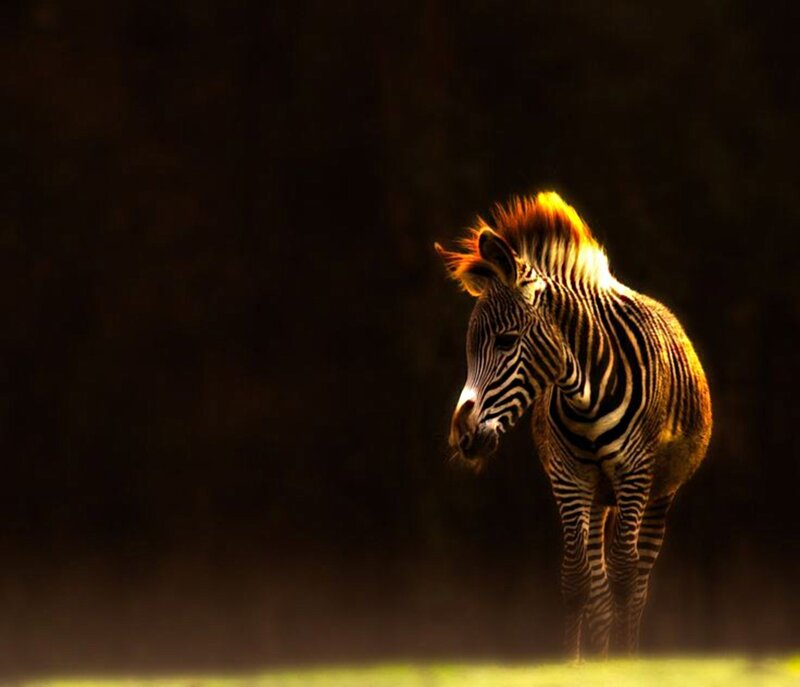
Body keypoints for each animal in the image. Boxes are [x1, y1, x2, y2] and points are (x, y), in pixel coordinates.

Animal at [435, 192, 712, 658]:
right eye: (471, 346)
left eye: (506, 342)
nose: (462, 436)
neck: (587, 397)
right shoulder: (569, 478)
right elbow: (576, 580)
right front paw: (576, 662)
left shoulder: (634, 474)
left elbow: (624, 577)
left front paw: (623, 660)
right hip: (599, 495)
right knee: (599, 583)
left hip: (660, 491)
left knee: (638, 579)